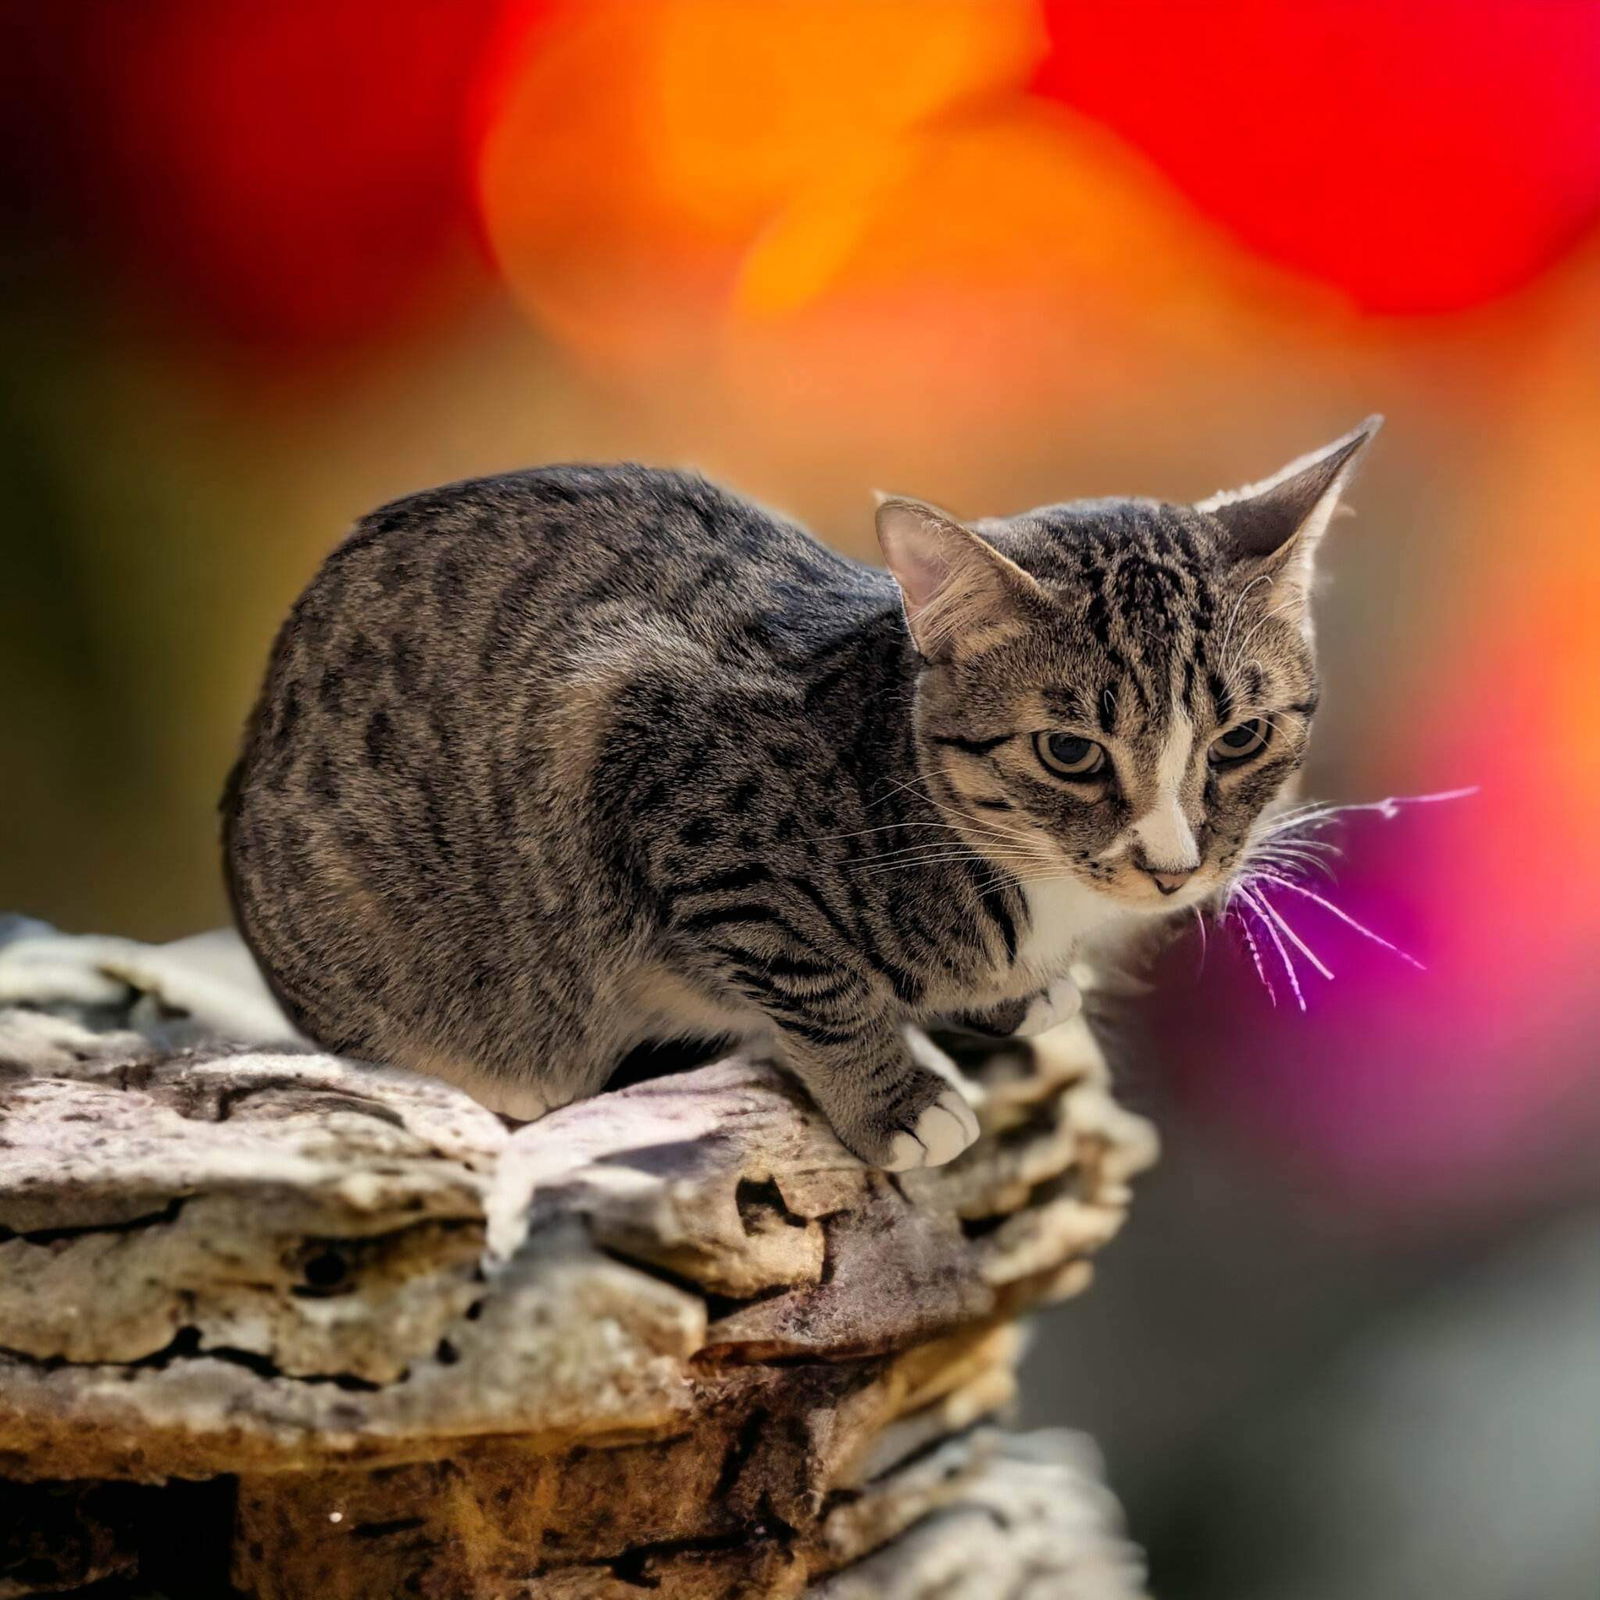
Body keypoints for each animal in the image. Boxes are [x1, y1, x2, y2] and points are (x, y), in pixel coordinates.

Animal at [222, 422, 1376, 1177]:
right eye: (1068, 752)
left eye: (1241, 737)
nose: (1173, 867)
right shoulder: (664, 772)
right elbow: (818, 981)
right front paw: (896, 1102)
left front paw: (1012, 996)